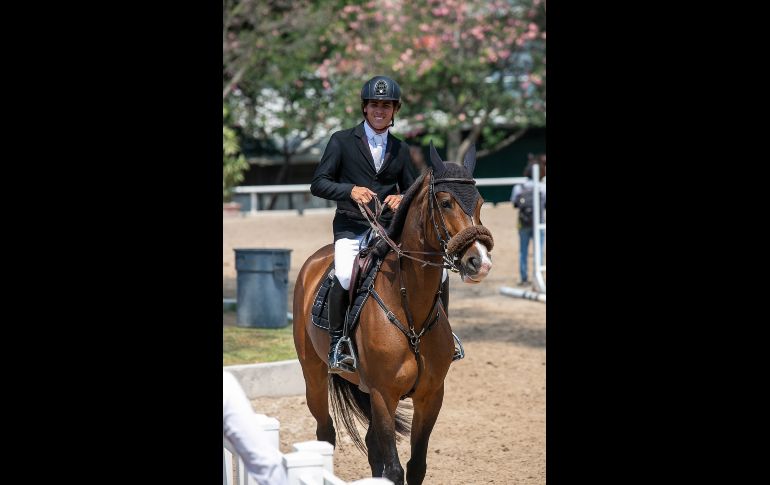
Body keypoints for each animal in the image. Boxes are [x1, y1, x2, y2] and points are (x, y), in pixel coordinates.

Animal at [292, 142, 496, 482]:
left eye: (480, 202)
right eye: (445, 202)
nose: (479, 262)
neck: (410, 313)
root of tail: (315, 261)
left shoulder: (430, 396)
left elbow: (415, 466)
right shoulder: (382, 395)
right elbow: (395, 468)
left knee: (371, 444)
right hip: (314, 375)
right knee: (325, 433)